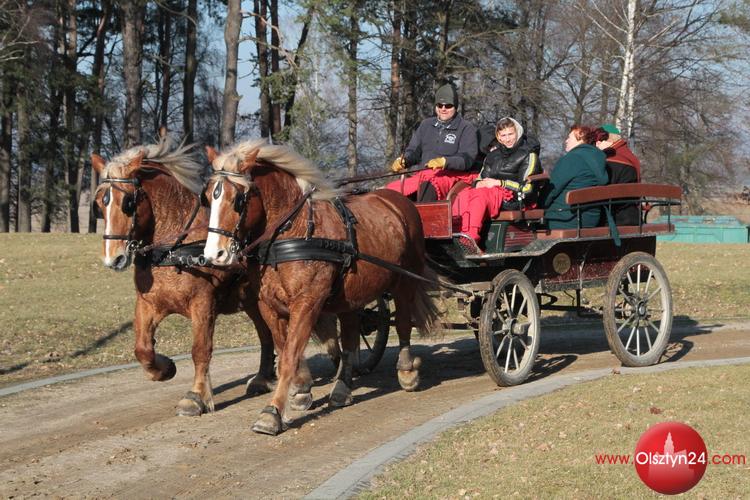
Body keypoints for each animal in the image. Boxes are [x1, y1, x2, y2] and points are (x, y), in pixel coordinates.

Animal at [90, 137, 337, 416]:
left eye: (127, 202)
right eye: (99, 204)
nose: (113, 258)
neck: (174, 247)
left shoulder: (203, 303)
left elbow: (201, 349)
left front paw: (196, 395)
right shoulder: (147, 303)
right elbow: (142, 348)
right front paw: (164, 368)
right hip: (256, 301)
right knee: (268, 337)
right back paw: (267, 378)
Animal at [202, 139, 440, 435]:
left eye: (238, 199)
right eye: (207, 197)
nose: (214, 255)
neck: (292, 232)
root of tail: (397, 201)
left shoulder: (307, 302)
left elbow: (290, 355)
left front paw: (272, 412)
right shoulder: (269, 306)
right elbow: (285, 348)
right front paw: (300, 390)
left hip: (405, 281)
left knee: (404, 324)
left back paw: (406, 370)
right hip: (353, 294)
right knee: (350, 336)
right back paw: (342, 388)